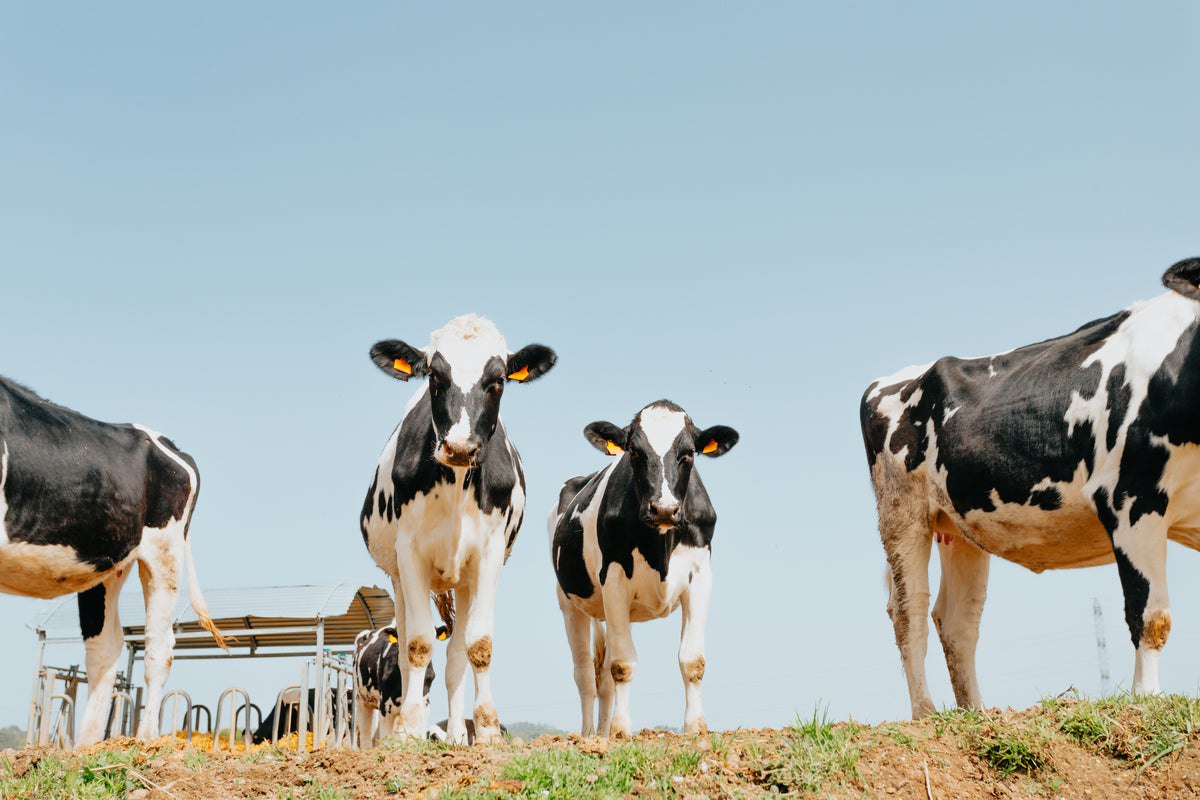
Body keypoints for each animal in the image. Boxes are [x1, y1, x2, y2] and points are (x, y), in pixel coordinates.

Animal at [0, 376, 226, 745]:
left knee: (158, 646)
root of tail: (167, 444)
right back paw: (85, 747)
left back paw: (145, 740)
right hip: (105, 564)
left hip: (163, 552)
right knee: (105, 648)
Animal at [359, 314, 556, 744]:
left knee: (454, 660)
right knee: (408, 649)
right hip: (399, 578)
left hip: (464, 581)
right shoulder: (409, 555)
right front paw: (410, 730)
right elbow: (417, 644)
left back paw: (455, 736)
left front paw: (486, 731)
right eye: (435, 376)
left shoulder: (489, 556)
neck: (455, 482)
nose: (460, 448)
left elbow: (478, 645)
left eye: (497, 380)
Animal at [550, 400, 739, 737]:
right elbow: (623, 664)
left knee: (603, 678)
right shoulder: (613, 580)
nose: (664, 509)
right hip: (570, 602)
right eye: (635, 452)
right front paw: (621, 729)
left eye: (689, 452)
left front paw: (695, 726)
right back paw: (589, 734)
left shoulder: (700, 577)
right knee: (585, 674)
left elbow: (692, 660)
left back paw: (601, 731)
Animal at [860, 257, 1200, 719]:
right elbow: (1150, 615)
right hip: (902, 511)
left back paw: (976, 712)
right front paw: (1147, 699)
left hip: (960, 524)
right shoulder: (1129, 497)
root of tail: (893, 378)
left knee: (956, 620)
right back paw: (925, 713)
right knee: (908, 609)